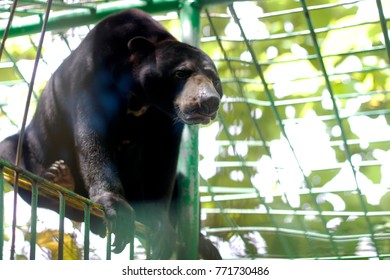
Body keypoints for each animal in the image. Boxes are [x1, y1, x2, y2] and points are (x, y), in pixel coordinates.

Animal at [0, 7, 221, 260]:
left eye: (215, 81)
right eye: (180, 73)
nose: (209, 100)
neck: (140, 95)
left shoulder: (167, 119)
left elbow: (161, 160)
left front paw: (161, 229)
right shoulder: (91, 77)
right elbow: (93, 140)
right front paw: (115, 207)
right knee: (18, 163)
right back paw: (60, 179)